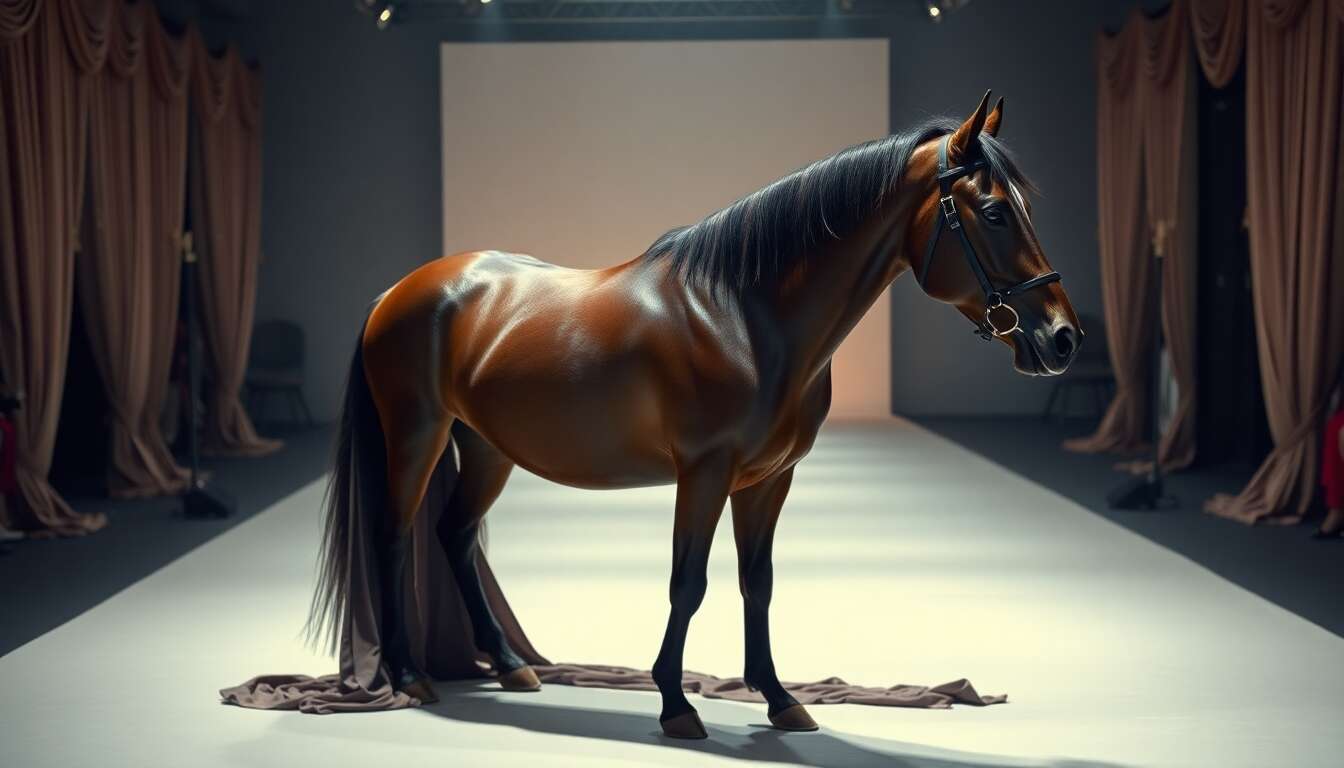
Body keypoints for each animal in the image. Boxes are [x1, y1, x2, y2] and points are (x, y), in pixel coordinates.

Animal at [307, 91, 1079, 739]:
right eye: (993, 213)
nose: (1062, 338)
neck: (743, 314)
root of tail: (399, 290)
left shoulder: (768, 480)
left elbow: (756, 583)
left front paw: (780, 699)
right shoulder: (704, 472)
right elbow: (690, 582)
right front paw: (676, 706)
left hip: (488, 448)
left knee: (455, 535)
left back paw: (508, 664)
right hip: (417, 435)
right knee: (394, 537)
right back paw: (410, 675)